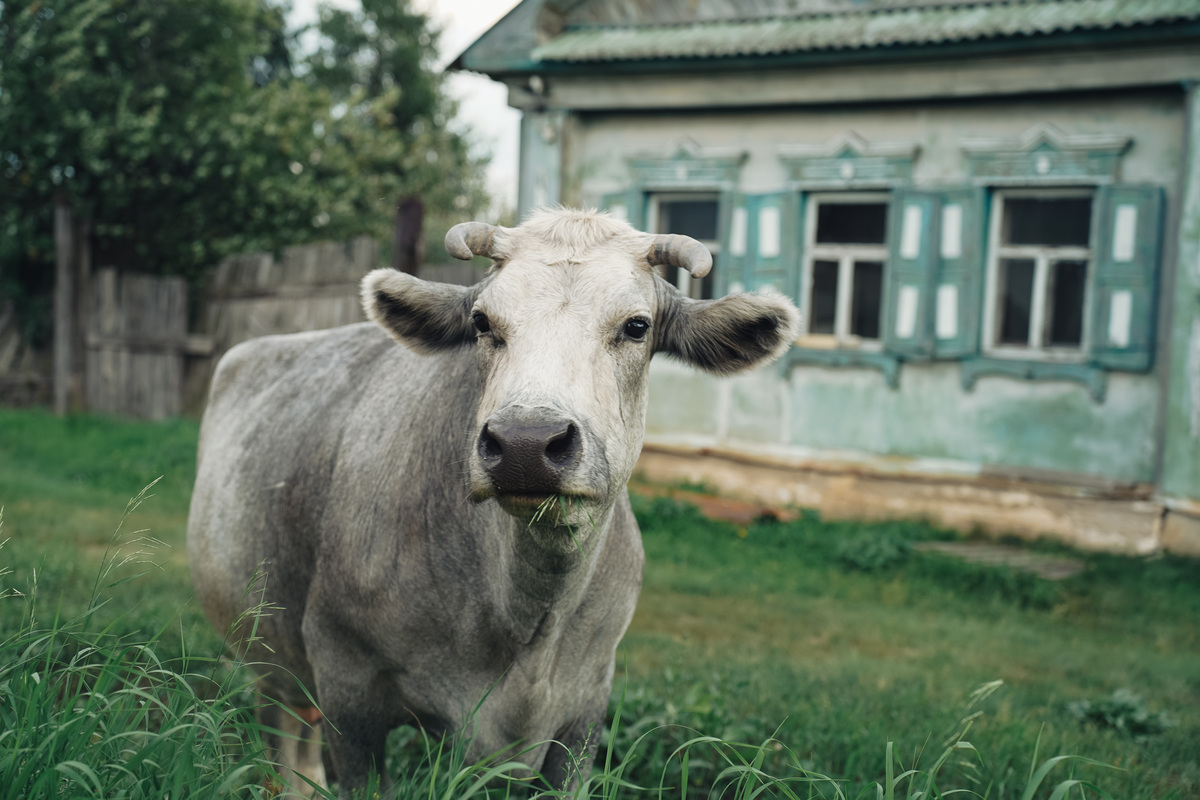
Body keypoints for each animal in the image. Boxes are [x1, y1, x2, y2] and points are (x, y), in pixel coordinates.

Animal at [184, 208, 796, 796]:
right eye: (481, 322)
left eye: (637, 326)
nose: (526, 443)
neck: (527, 619)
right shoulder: (347, 689)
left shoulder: (584, 711)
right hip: (268, 659)